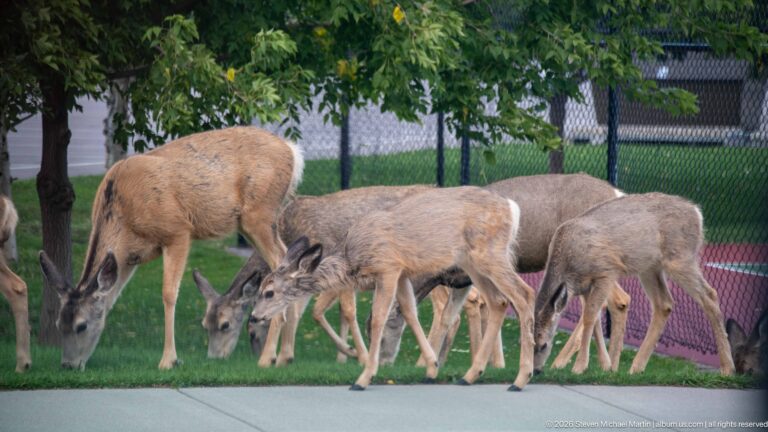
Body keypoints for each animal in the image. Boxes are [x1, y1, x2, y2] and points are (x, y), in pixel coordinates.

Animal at [37, 126, 304, 370]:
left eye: (81, 325)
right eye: (59, 324)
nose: (68, 365)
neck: (121, 210)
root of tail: (291, 149)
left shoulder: (177, 231)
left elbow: (168, 293)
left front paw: (169, 360)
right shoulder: (128, 257)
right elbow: (112, 299)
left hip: (259, 213)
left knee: (280, 263)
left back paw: (267, 357)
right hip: (251, 222)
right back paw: (284, 356)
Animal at [194, 185, 431, 366]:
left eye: (225, 325)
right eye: (205, 324)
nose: (214, 358)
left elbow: (344, 311)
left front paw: (358, 354)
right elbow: (310, 311)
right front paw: (343, 355)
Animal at [249, 186, 537, 391]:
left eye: (269, 292)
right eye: (261, 287)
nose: (254, 316)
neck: (354, 259)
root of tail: (512, 208)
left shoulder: (387, 268)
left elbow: (378, 318)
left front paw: (364, 377)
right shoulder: (401, 274)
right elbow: (409, 313)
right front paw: (431, 368)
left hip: (489, 254)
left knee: (524, 294)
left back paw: (520, 379)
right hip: (471, 263)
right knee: (499, 301)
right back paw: (470, 375)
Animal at [377, 173, 631, 372]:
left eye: (380, 332)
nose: (382, 362)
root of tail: (617, 192)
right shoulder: (462, 279)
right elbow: (452, 316)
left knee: (617, 300)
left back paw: (579, 363)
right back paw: (607, 365)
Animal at [533, 192, 735, 376]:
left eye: (544, 345)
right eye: (529, 344)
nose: (535, 371)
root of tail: (697, 213)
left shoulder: (606, 271)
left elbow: (590, 317)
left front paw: (580, 367)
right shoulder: (583, 286)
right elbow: (594, 319)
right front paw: (606, 365)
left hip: (680, 258)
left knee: (710, 295)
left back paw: (727, 369)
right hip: (650, 268)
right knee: (664, 304)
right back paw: (636, 368)